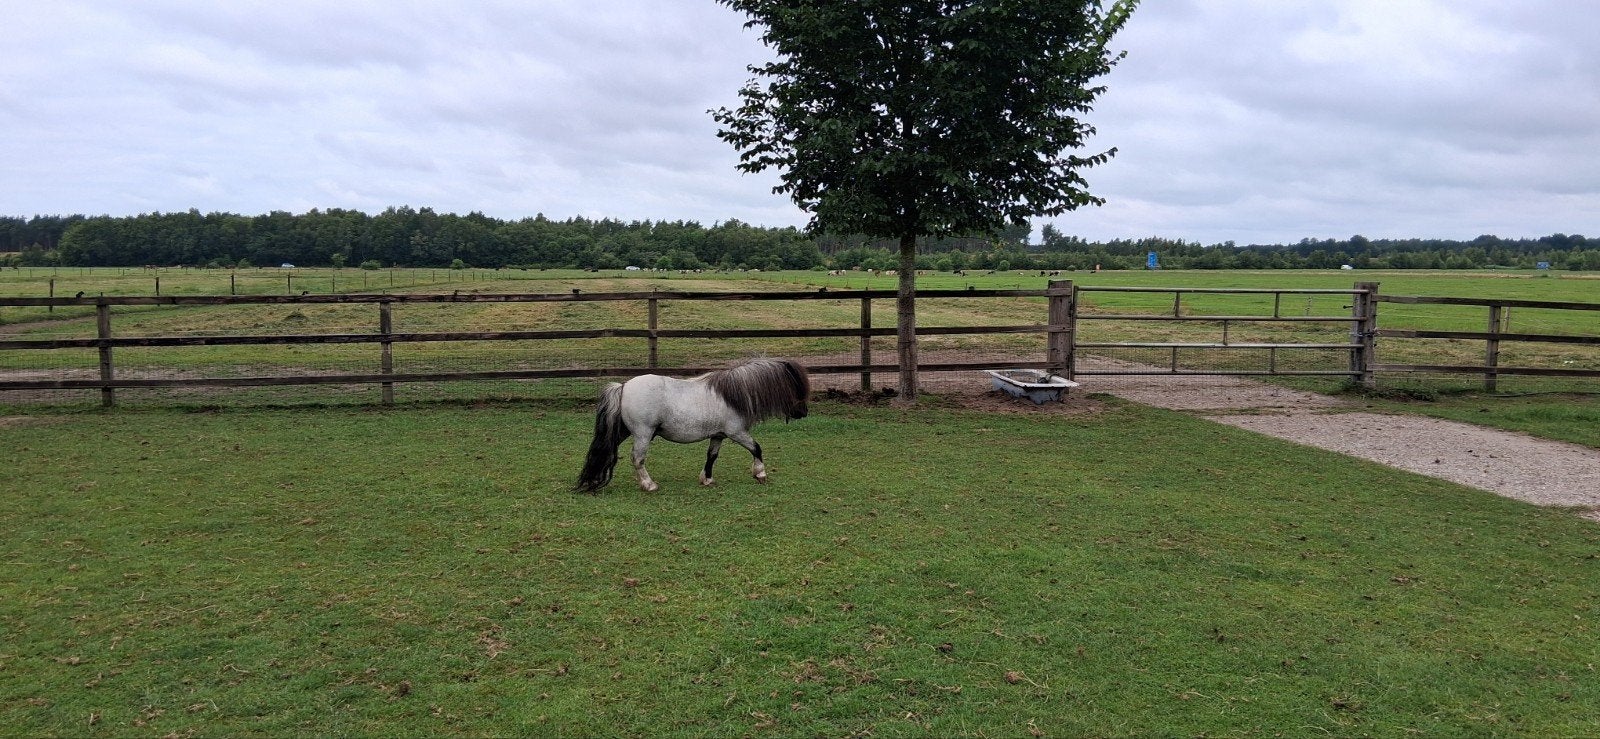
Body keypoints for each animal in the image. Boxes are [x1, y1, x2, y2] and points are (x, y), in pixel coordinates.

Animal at [575, 358, 810, 493]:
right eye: (796, 386)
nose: (803, 413)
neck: (733, 395)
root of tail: (623, 386)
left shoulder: (719, 435)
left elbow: (712, 456)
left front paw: (707, 479)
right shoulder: (737, 433)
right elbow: (756, 448)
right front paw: (760, 474)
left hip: (623, 431)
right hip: (643, 434)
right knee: (638, 459)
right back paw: (649, 485)